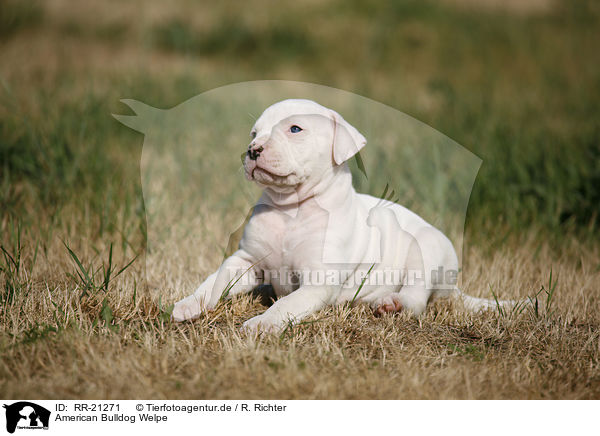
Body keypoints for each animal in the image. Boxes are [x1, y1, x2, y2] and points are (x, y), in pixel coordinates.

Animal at [172, 99, 510, 330]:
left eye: (295, 129)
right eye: (254, 132)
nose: (252, 149)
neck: (290, 210)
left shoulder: (318, 281)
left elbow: (289, 303)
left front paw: (262, 324)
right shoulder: (245, 260)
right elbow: (214, 280)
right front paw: (189, 304)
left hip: (427, 250)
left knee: (416, 297)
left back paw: (392, 304)